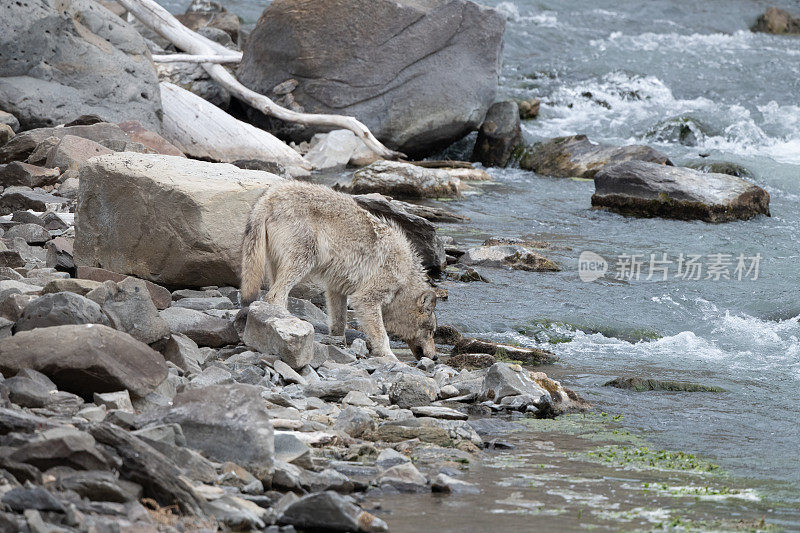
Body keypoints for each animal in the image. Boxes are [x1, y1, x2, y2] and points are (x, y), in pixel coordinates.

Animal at [241, 181, 438, 360]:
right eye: (430, 331)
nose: (435, 357)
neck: (405, 278)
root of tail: (269, 197)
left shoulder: (336, 289)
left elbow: (339, 322)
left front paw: (338, 344)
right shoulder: (365, 299)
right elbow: (383, 336)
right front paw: (390, 358)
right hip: (301, 263)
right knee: (275, 296)